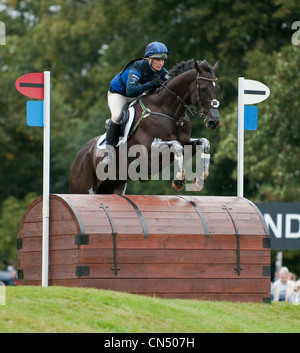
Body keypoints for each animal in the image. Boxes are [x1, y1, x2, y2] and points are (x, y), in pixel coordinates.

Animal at [70, 59, 220, 194]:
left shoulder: (186, 143)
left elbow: (204, 143)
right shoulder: (147, 154)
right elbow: (177, 145)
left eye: (218, 88)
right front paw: (178, 181)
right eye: (203, 89)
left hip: (113, 186)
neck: (168, 111)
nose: (214, 121)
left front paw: (199, 181)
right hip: (83, 188)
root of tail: (78, 157)